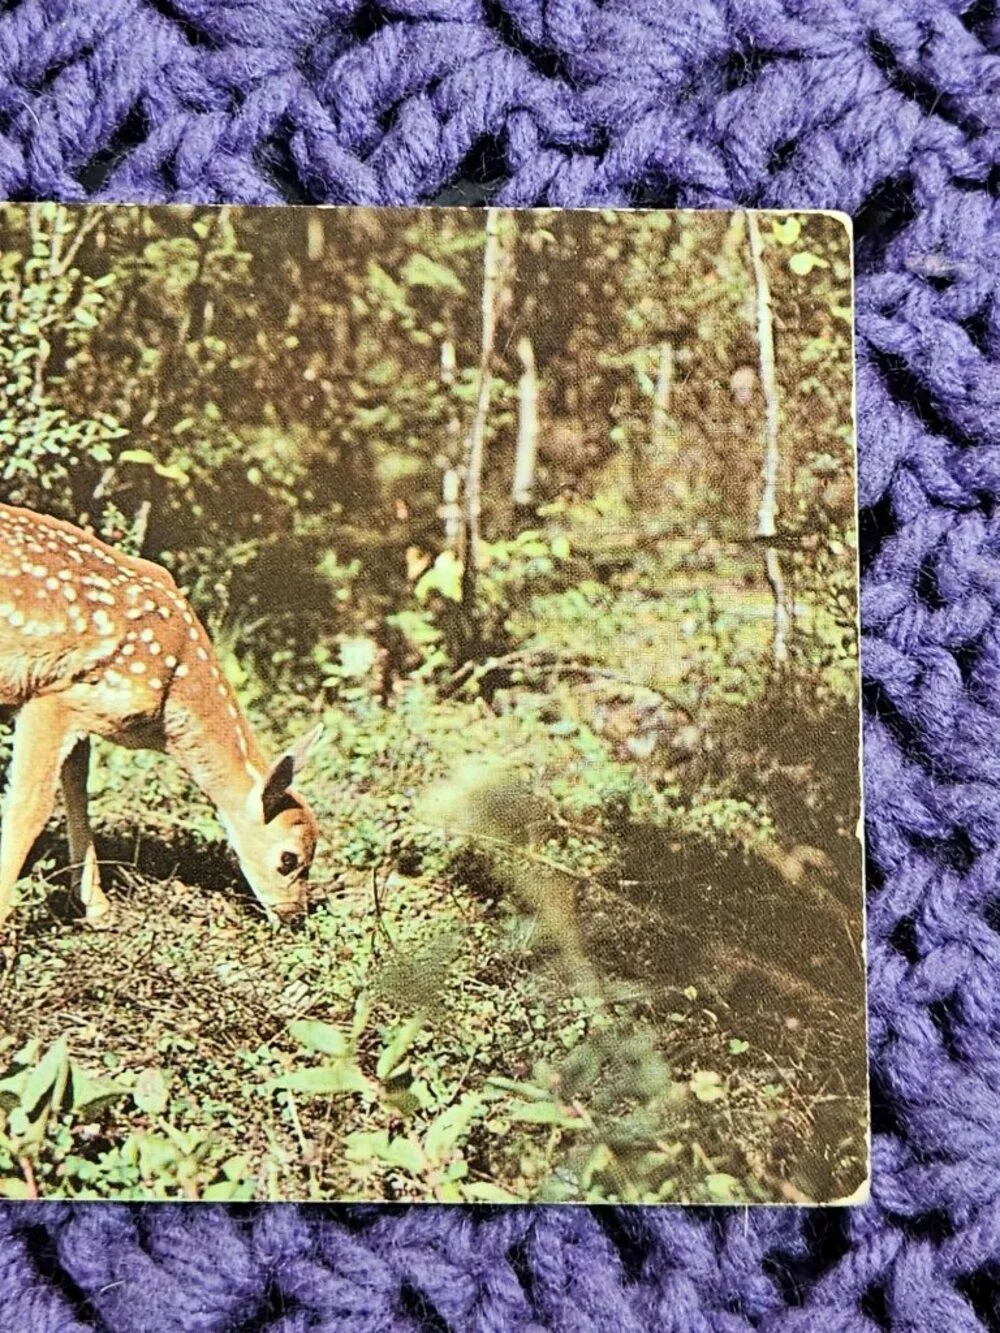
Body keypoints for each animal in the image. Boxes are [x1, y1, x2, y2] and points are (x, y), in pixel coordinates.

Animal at [0, 502, 323, 939]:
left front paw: (99, 909)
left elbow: (78, 793)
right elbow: (29, 809)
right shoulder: (52, 697)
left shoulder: (84, 711)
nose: (294, 917)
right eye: (289, 859)